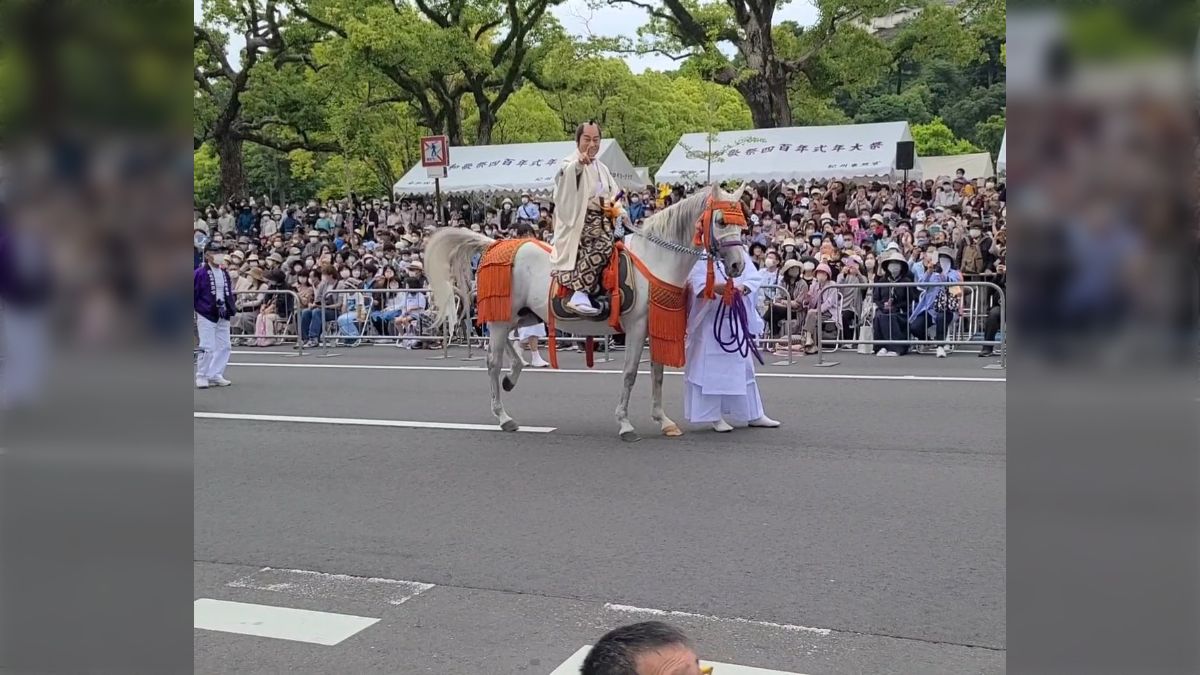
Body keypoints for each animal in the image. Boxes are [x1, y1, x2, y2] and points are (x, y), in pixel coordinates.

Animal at [424, 181, 748, 439]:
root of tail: (497, 243)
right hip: (503, 317)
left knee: (506, 351)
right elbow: (631, 373)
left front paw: (664, 420)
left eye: (743, 222)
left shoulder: (655, 325)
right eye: (721, 221)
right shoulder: (637, 326)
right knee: (492, 361)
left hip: (521, 315)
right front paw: (625, 423)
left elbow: (657, 373)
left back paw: (512, 377)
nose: (737, 265)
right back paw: (504, 417)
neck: (654, 259)